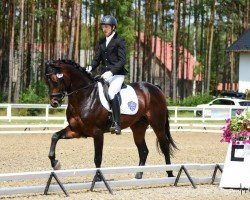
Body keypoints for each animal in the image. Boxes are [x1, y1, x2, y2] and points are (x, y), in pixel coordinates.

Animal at [45, 59, 178, 178]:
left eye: (57, 80)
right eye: (48, 81)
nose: (54, 102)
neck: (85, 97)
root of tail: (155, 87)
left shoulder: (97, 133)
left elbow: (97, 158)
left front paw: (98, 178)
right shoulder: (76, 131)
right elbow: (54, 136)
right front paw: (55, 163)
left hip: (157, 124)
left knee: (164, 146)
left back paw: (170, 173)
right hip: (138, 126)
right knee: (143, 150)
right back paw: (138, 175)